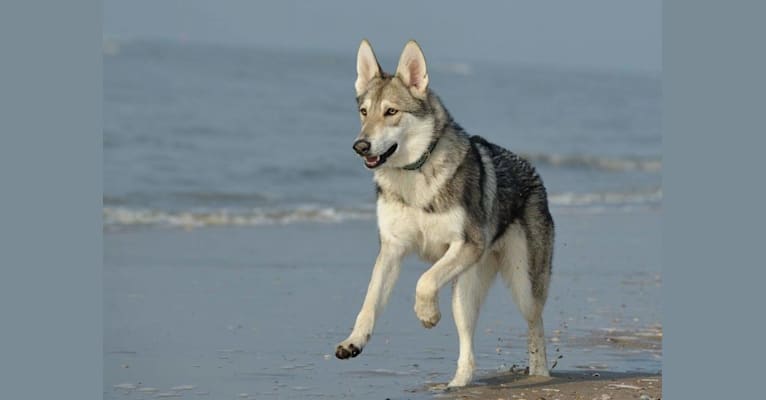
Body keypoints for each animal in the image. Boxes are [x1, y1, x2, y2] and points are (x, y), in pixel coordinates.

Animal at [332, 40, 556, 388]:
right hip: (466, 291)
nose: (360, 145)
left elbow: (424, 281)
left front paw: (427, 315)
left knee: (536, 326)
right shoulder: (392, 249)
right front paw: (354, 341)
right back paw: (458, 382)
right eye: (364, 112)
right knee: (468, 343)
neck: (414, 174)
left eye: (391, 112)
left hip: (521, 288)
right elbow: (369, 303)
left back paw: (538, 375)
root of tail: (533, 170)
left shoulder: (466, 245)